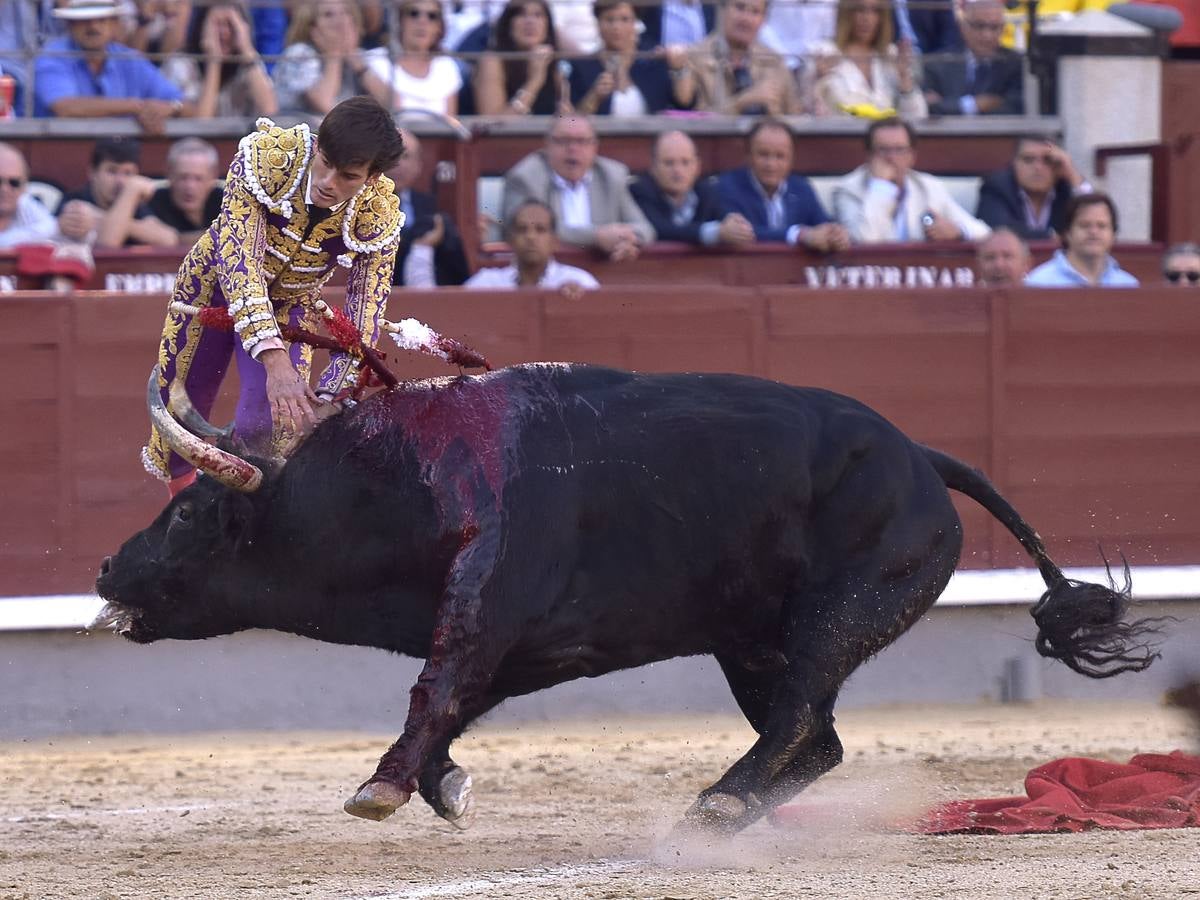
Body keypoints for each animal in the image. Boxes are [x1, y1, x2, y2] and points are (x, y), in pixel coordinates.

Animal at [93, 362, 1161, 835]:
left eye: (187, 517)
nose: (105, 573)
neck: (396, 486)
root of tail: (923, 457)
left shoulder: (485, 611)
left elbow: (433, 690)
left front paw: (386, 788)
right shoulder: (510, 645)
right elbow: (449, 704)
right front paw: (445, 786)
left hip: (837, 614)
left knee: (801, 720)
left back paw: (718, 806)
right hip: (750, 642)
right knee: (816, 737)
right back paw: (734, 813)